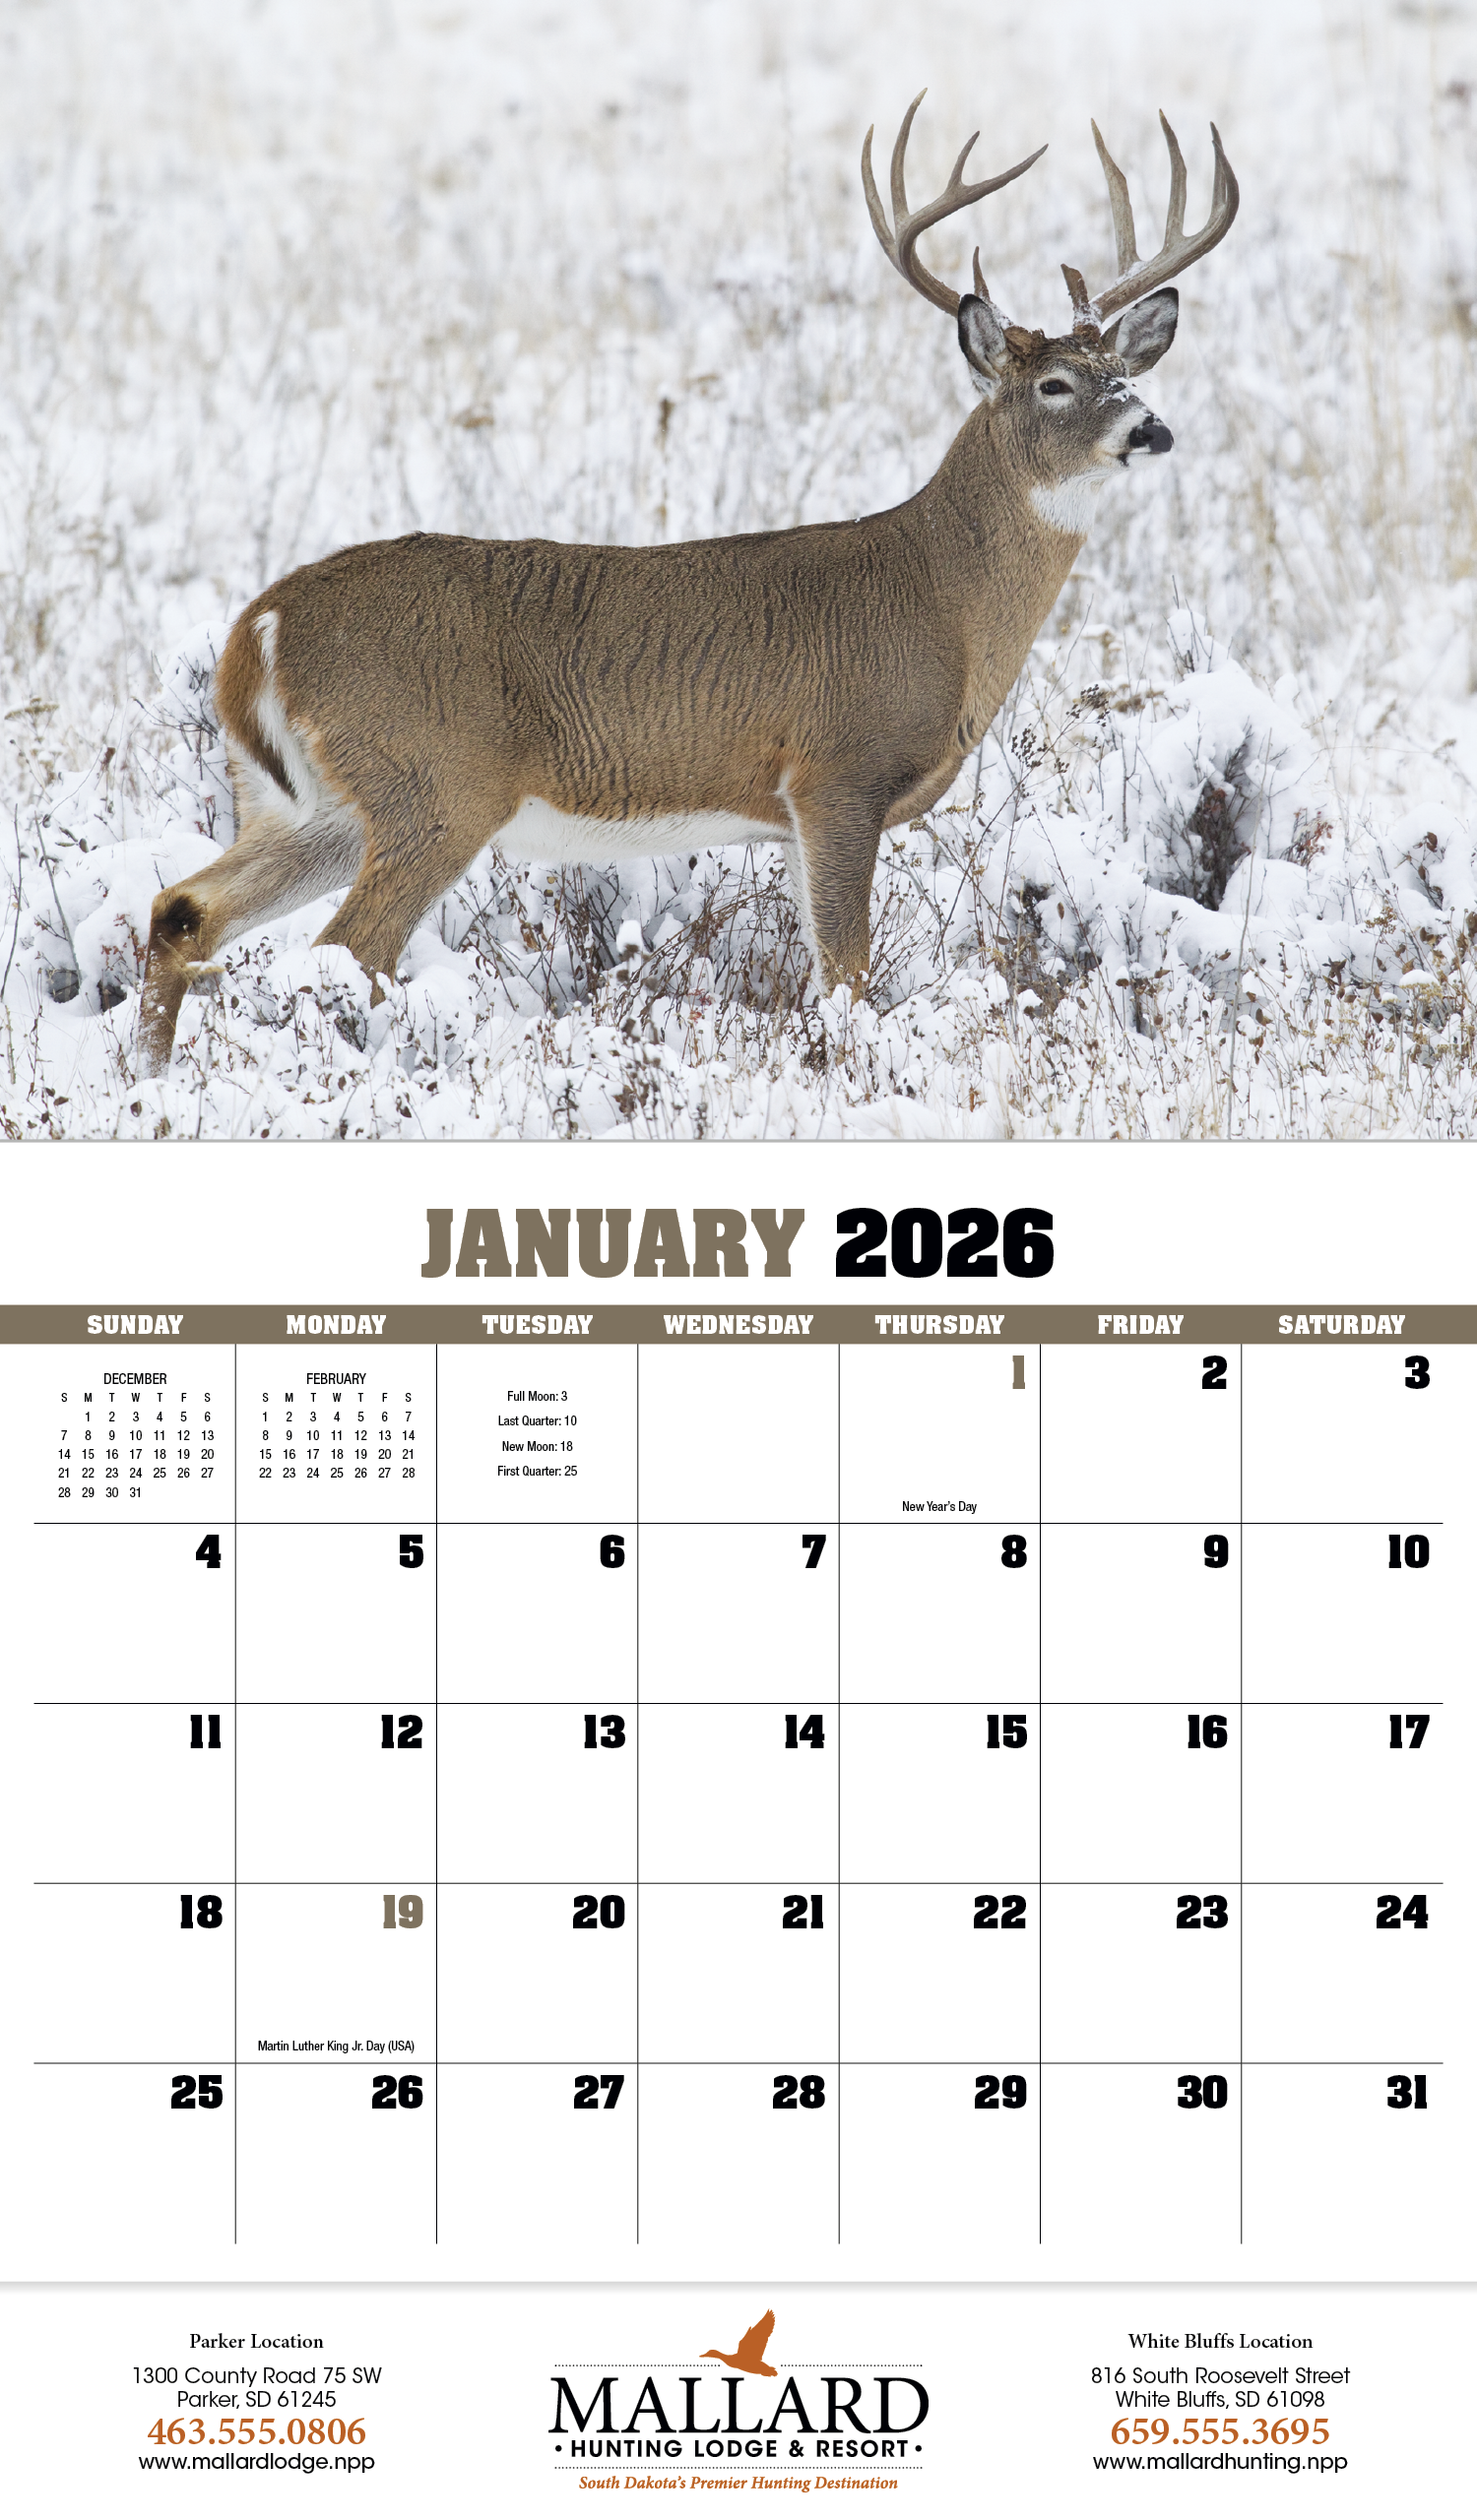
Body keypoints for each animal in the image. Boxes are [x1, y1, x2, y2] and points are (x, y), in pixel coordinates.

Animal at [136, 99, 1237, 1076]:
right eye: (1054, 383)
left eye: (1124, 372)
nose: (1151, 428)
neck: (942, 598)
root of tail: (261, 628)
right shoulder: (837, 769)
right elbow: (846, 976)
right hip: (434, 783)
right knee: (342, 950)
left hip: (305, 805)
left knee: (183, 910)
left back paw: (149, 1078)